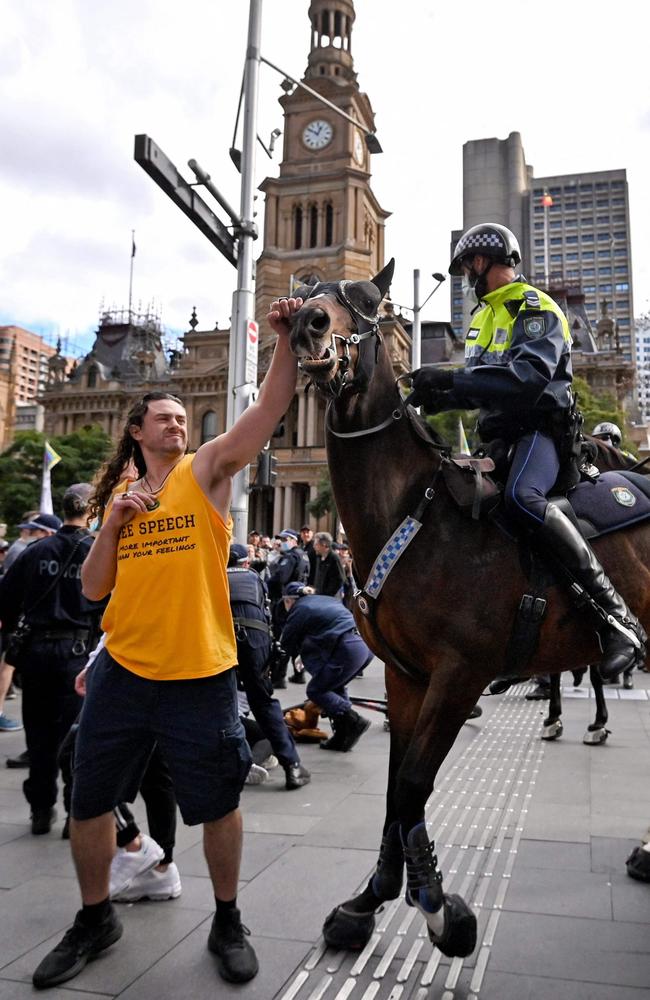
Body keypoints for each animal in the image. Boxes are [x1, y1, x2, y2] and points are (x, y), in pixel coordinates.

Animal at [288, 264, 648, 960]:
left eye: (367, 303)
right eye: (311, 292)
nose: (306, 325)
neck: (413, 512)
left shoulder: (459, 676)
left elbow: (411, 787)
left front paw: (437, 908)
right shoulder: (405, 678)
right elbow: (396, 791)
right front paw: (370, 900)